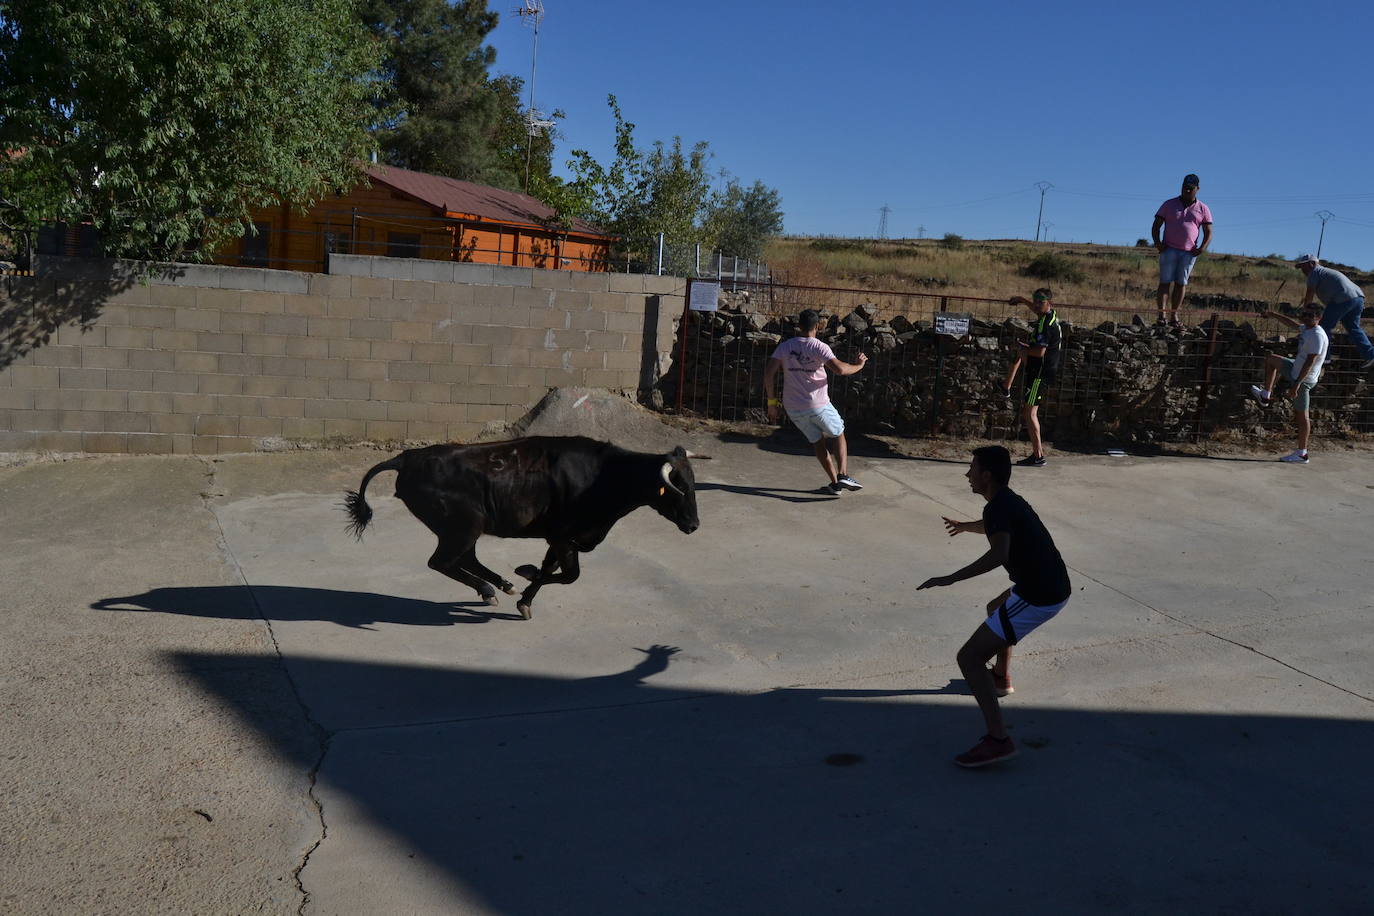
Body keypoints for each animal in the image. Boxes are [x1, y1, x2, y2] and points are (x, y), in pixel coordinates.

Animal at [343, 436, 708, 615]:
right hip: (463, 525)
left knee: (464, 558)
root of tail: (407, 458)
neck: (606, 475)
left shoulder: (561, 540)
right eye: (677, 488)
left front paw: (525, 593)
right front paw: (526, 576)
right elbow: (569, 575)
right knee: (442, 561)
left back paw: (500, 586)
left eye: (693, 484)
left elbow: (551, 570)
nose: (693, 525)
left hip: (463, 529)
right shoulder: (563, 537)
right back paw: (490, 589)